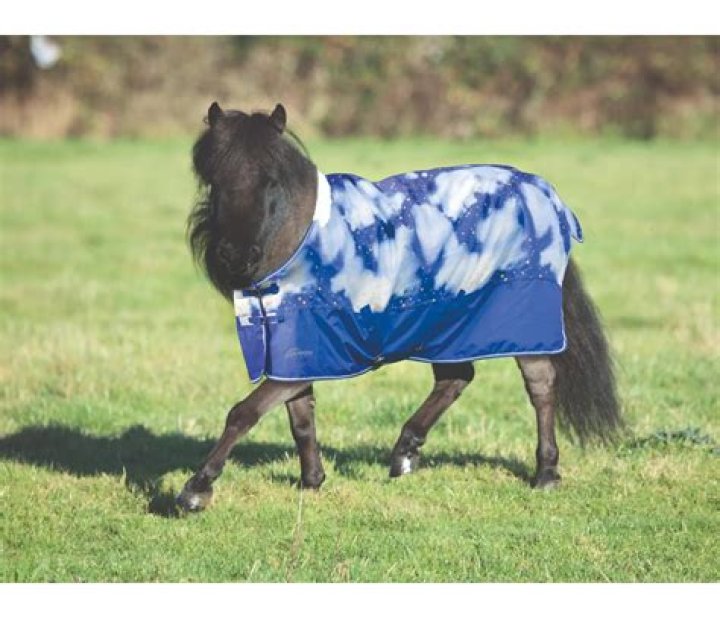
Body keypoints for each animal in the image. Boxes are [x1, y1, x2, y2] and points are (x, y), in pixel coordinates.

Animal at [176, 102, 621, 512]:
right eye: (215, 179)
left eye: (270, 180)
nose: (235, 256)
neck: (302, 242)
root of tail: (547, 196)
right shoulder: (297, 351)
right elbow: (299, 418)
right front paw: (312, 481)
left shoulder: (312, 352)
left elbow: (244, 412)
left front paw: (195, 490)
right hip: (447, 323)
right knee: (456, 377)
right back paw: (405, 454)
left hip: (523, 321)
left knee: (540, 385)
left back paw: (546, 472)